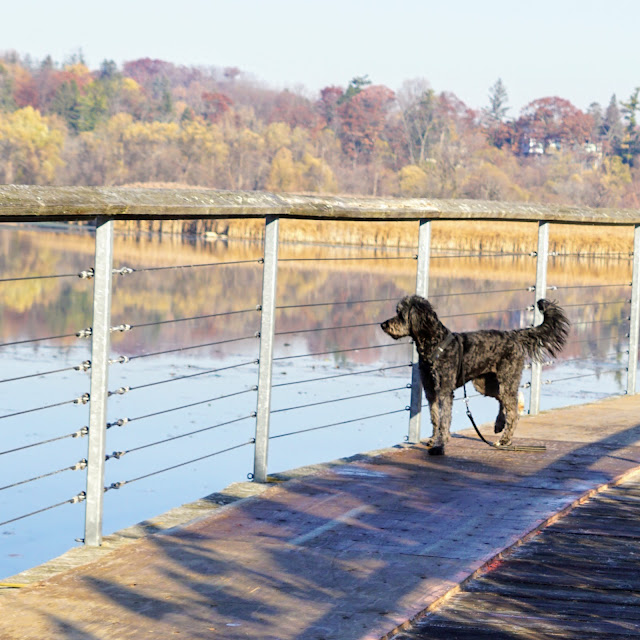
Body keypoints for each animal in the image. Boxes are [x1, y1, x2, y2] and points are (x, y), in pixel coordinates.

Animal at [380, 296, 568, 456]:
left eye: (401, 314)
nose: (383, 324)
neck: (434, 344)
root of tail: (513, 335)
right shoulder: (431, 390)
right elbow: (435, 418)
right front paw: (434, 439)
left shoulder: (444, 390)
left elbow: (444, 420)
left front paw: (440, 446)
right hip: (485, 384)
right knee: (504, 402)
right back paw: (499, 424)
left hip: (507, 379)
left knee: (513, 411)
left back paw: (505, 439)